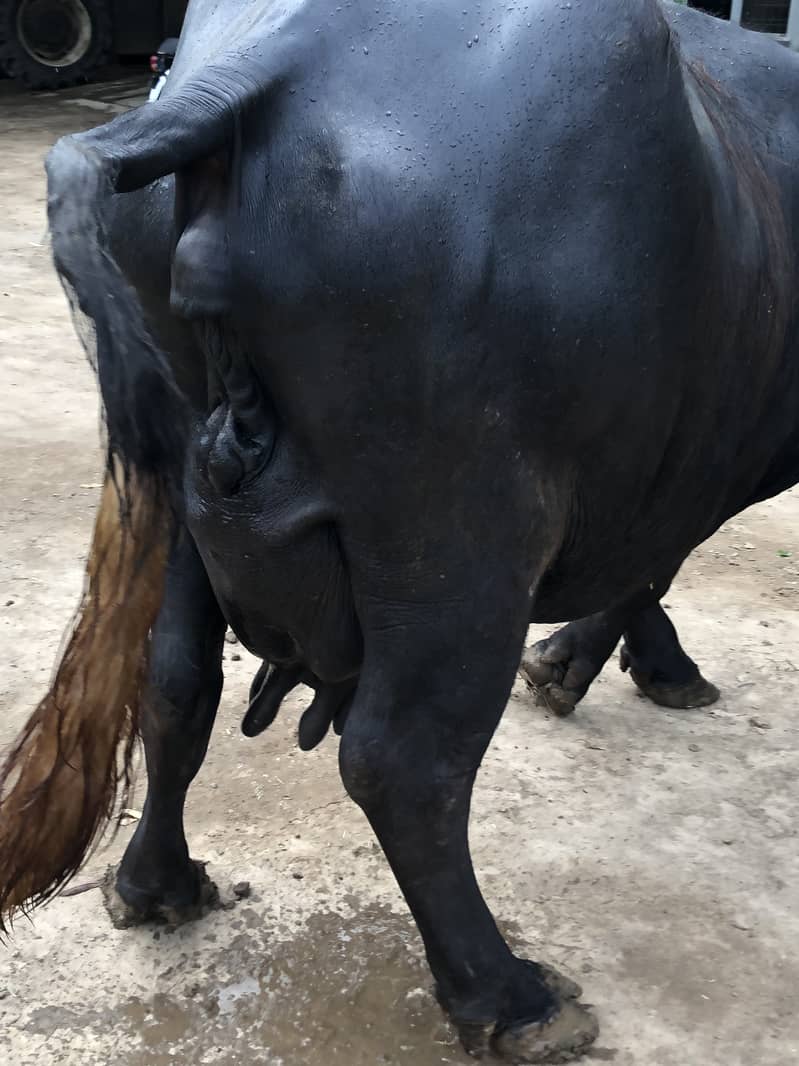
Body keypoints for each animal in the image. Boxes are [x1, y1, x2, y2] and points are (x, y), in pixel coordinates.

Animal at [0, 1, 797, 1061]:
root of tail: (258, 62)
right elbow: (652, 567)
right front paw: (610, 666)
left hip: (185, 499)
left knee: (174, 682)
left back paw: (157, 887)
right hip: (458, 534)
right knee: (402, 762)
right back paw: (510, 997)